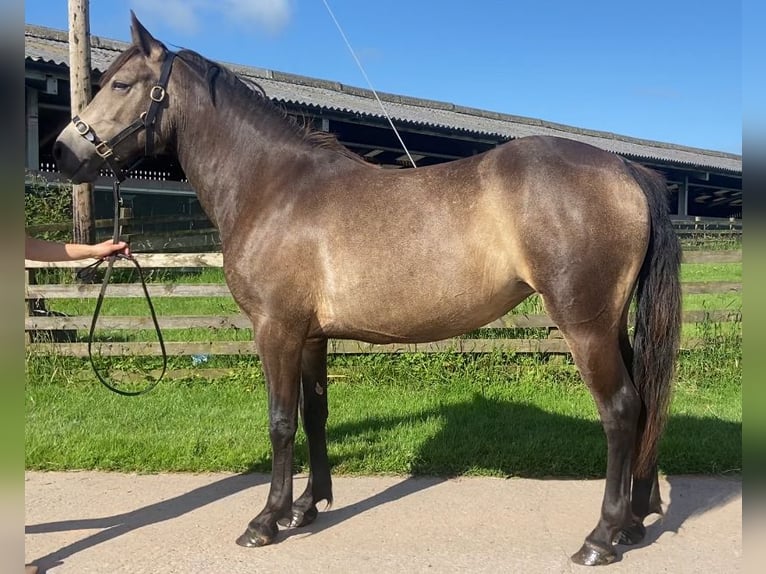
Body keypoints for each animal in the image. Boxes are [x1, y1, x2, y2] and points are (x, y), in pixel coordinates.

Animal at [53, 13, 681, 566]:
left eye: (122, 85)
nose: (62, 152)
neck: (273, 187)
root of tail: (627, 170)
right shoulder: (310, 336)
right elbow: (314, 414)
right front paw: (307, 507)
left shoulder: (275, 329)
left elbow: (280, 422)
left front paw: (266, 520)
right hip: (612, 324)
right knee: (645, 402)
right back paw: (632, 522)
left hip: (585, 326)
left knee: (621, 410)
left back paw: (601, 537)